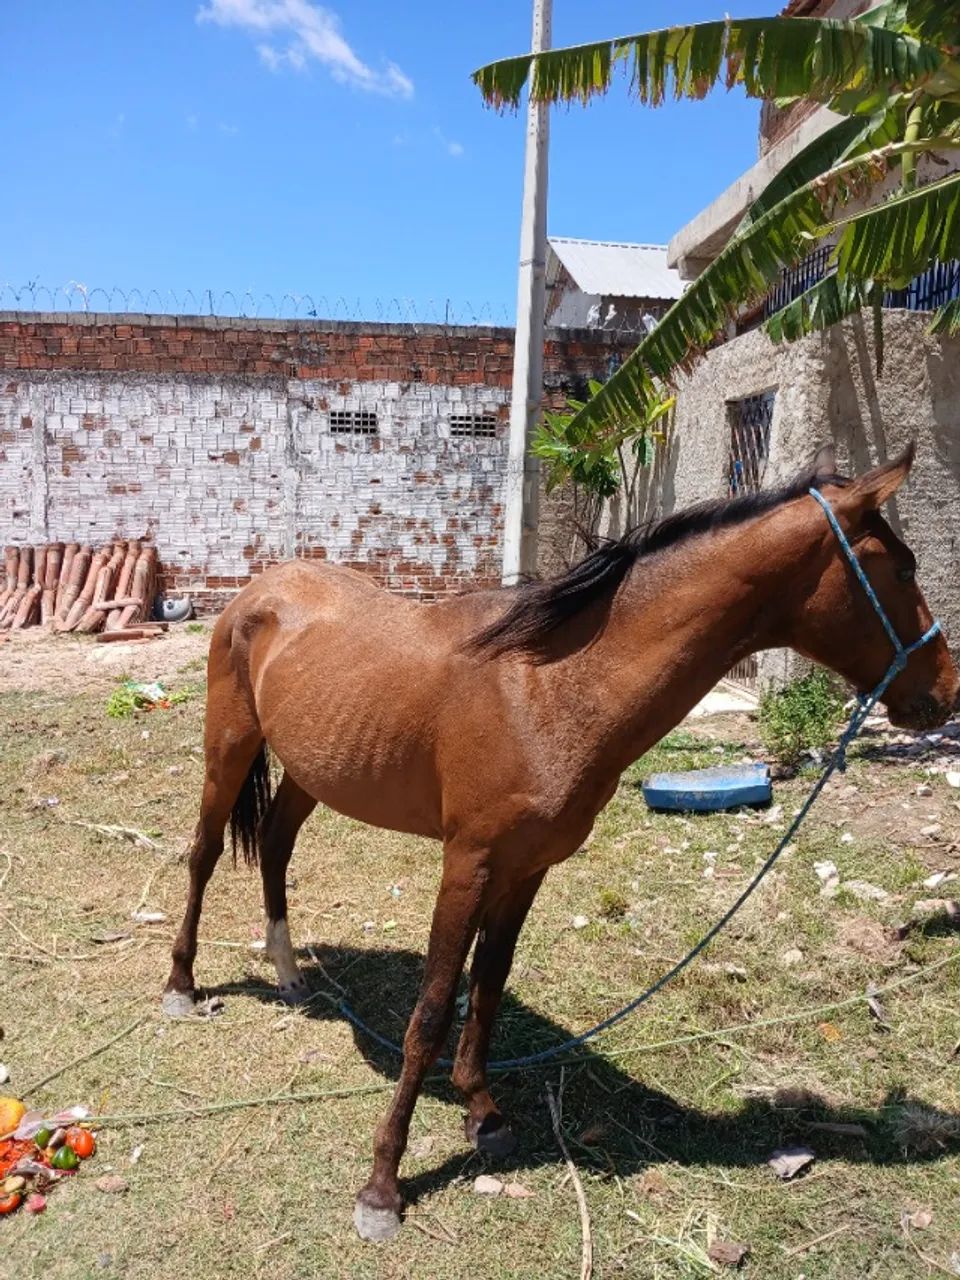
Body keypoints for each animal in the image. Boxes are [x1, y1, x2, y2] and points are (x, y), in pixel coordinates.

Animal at [163, 443, 957, 1242]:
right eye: (904, 570)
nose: (945, 693)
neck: (549, 688)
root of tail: (265, 585)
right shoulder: (469, 864)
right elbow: (431, 1013)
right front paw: (383, 1185)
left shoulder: (526, 869)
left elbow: (487, 989)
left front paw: (483, 1115)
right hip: (229, 745)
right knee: (204, 854)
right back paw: (183, 987)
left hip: (314, 769)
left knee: (275, 844)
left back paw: (290, 974)